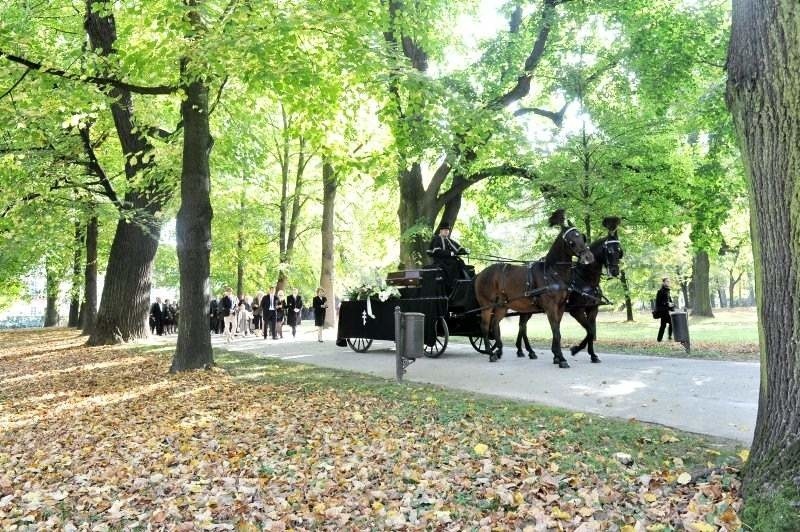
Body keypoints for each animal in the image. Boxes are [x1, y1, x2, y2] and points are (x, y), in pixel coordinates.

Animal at [476, 210, 592, 368]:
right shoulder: (550, 307)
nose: (588, 257)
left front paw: (556, 356)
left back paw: (498, 350)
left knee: (495, 324)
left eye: (582, 236)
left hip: (502, 306)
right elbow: (556, 332)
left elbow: (557, 330)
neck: (552, 272)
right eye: (571, 240)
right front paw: (561, 358)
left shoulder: (561, 307)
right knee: (485, 326)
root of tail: (480, 274)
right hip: (487, 305)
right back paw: (490, 353)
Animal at [512, 216, 624, 362]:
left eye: (620, 251)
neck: (586, 280)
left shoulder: (593, 309)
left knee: (522, 326)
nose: (615, 271)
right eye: (609, 251)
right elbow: (589, 331)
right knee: (523, 326)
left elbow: (591, 331)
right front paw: (574, 350)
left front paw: (592, 355)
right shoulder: (576, 310)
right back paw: (526, 350)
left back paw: (523, 350)